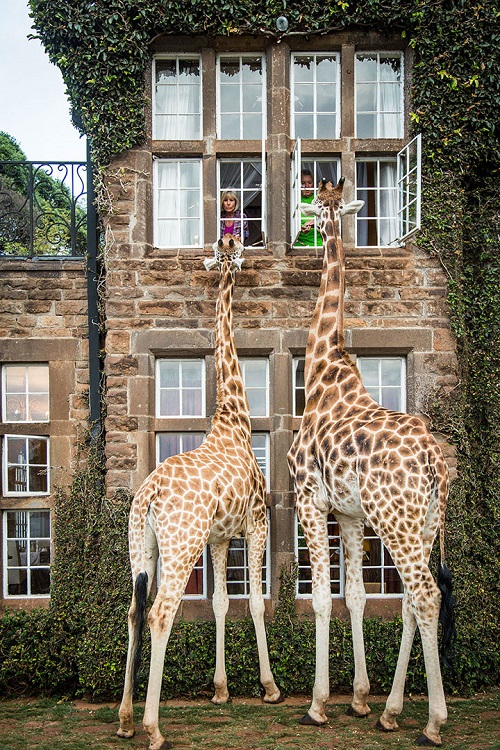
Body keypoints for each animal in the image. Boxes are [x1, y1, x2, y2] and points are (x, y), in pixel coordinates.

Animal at [117, 236, 282, 750]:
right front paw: (269, 687)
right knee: (160, 614)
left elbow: (220, 603)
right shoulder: (256, 522)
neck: (234, 418)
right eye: (234, 251)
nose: (233, 246)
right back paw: (153, 728)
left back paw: (125, 718)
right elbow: (253, 601)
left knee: (134, 611)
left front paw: (221, 689)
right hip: (181, 544)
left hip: (143, 547)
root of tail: (149, 494)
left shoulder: (219, 536)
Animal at [288, 178, 456, 748]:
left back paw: (433, 721)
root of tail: (433, 460)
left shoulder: (309, 500)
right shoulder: (349, 513)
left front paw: (317, 704)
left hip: (397, 521)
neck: (323, 367)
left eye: (315, 204)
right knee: (409, 599)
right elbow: (356, 596)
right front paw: (359, 698)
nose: (303, 224)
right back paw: (390, 710)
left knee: (425, 594)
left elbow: (322, 598)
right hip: (422, 522)